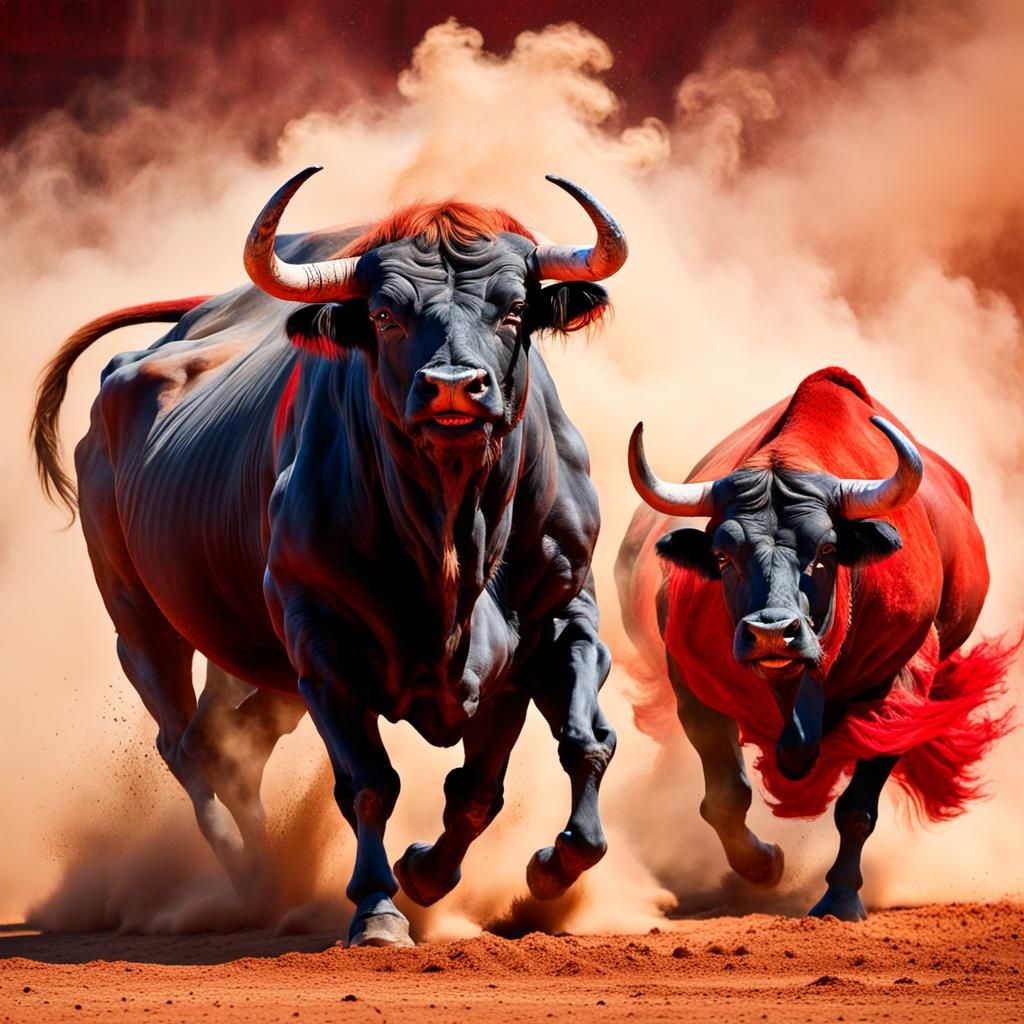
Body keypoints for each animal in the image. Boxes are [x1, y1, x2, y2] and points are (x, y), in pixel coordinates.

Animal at [32, 166, 624, 947]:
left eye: (515, 308)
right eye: (386, 314)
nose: (454, 388)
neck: (452, 538)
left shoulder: (558, 622)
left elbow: (545, 761)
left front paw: (514, 869)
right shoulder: (323, 648)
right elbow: (370, 784)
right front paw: (378, 908)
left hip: (250, 660)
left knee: (228, 742)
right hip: (143, 622)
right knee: (187, 746)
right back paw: (251, 881)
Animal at [616, 367, 1014, 920]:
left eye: (825, 549)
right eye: (723, 555)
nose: (770, 632)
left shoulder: (898, 697)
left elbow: (857, 809)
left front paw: (841, 897)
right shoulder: (692, 686)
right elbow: (725, 796)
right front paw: (763, 865)